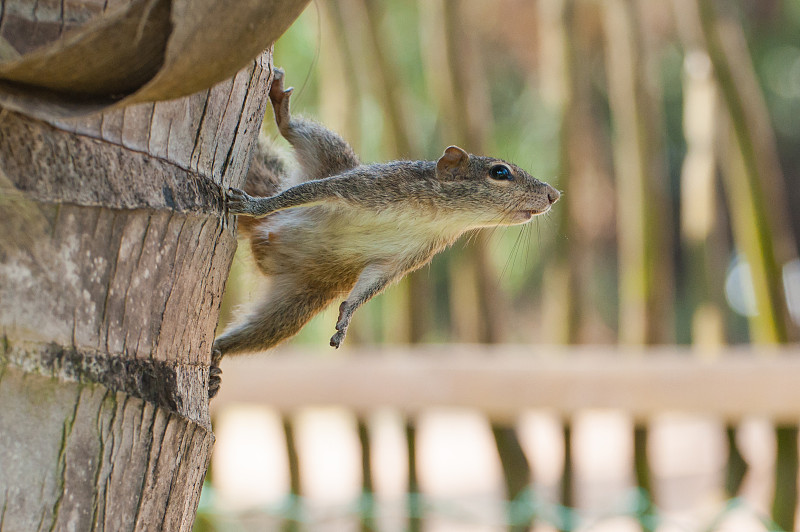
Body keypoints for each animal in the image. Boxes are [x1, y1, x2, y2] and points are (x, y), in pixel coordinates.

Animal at [209, 68, 560, 396]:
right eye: (499, 172)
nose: (553, 194)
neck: (440, 217)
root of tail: (263, 243)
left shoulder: (403, 259)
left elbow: (371, 284)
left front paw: (346, 318)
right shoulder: (364, 187)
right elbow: (303, 193)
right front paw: (255, 205)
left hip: (292, 308)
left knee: (253, 334)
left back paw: (216, 356)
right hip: (331, 156)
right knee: (296, 139)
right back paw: (281, 107)